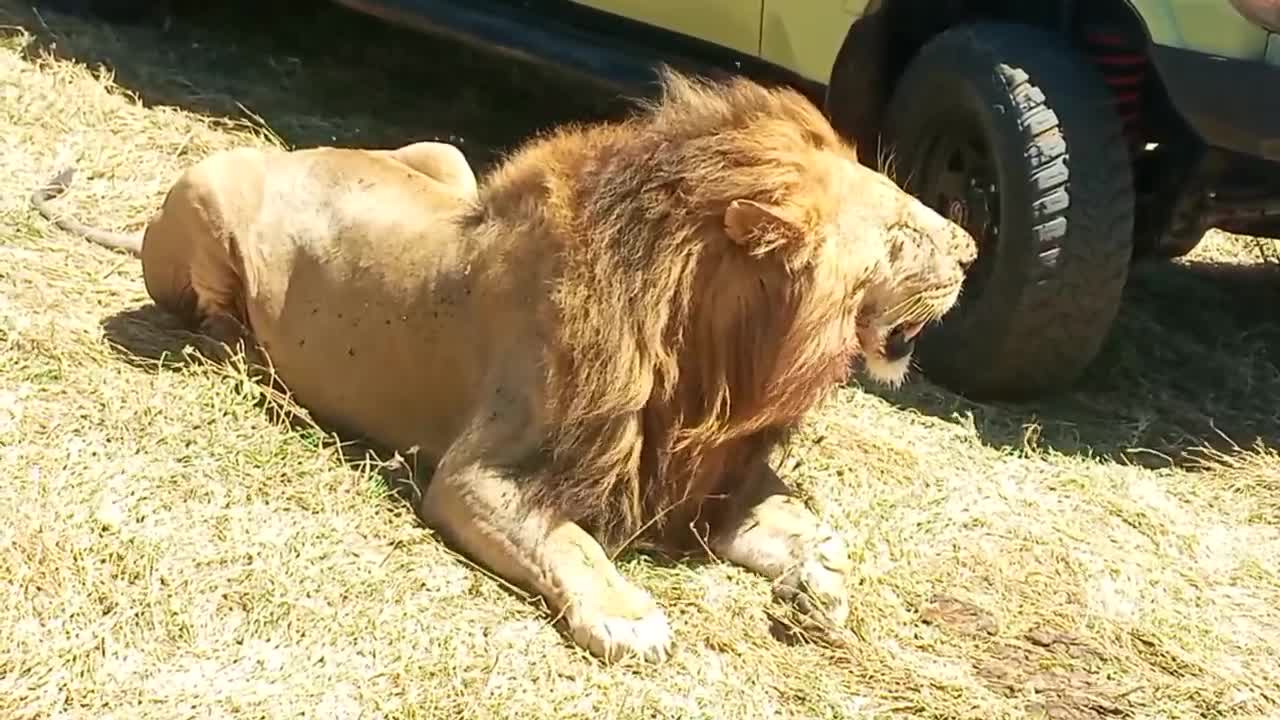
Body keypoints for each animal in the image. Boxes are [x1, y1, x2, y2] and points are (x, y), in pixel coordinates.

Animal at [30, 70, 972, 666]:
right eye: (899, 234)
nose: (969, 250)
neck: (715, 360)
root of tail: (286, 150)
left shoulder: (695, 478)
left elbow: (808, 521)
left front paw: (823, 584)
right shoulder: (476, 474)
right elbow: (570, 540)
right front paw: (630, 617)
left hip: (444, 159)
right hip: (205, 189)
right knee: (210, 317)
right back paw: (250, 361)